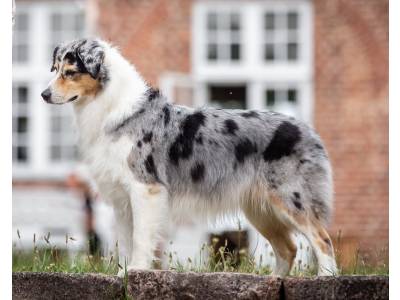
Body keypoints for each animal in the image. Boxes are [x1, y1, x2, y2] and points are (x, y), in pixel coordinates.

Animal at [41, 38, 338, 276]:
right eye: (55, 70)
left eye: (70, 72)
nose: (44, 94)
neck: (112, 107)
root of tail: (308, 129)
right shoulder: (122, 198)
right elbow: (126, 239)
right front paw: (122, 272)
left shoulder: (145, 188)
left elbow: (141, 237)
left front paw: (136, 270)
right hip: (260, 209)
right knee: (288, 248)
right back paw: (275, 280)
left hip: (292, 198)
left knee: (322, 240)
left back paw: (325, 278)